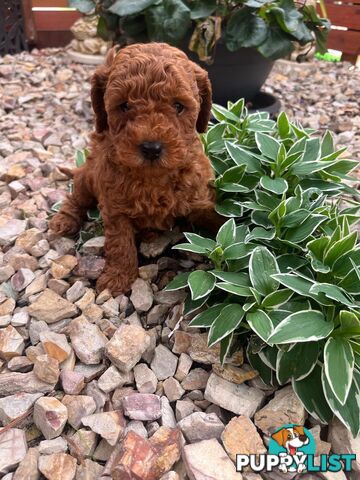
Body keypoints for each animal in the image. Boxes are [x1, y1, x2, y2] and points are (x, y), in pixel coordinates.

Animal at [49, 43, 221, 294]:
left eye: (178, 106)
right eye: (124, 105)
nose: (151, 148)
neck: (152, 178)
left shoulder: (199, 197)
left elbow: (217, 219)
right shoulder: (114, 207)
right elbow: (120, 243)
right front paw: (118, 277)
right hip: (87, 176)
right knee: (77, 198)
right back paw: (64, 220)